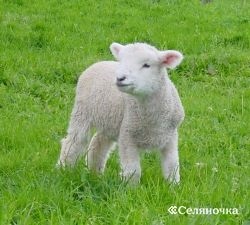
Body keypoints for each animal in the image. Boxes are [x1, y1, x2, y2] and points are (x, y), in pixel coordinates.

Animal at [57, 42, 186, 185]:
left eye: (147, 65)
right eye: (121, 61)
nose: (120, 78)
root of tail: (99, 63)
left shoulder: (171, 136)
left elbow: (172, 166)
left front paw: (173, 186)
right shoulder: (127, 135)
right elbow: (133, 170)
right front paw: (132, 188)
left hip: (109, 121)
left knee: (98, 142)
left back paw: (95, 173)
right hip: (82, 112)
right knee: (73, 141)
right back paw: (64, 169)